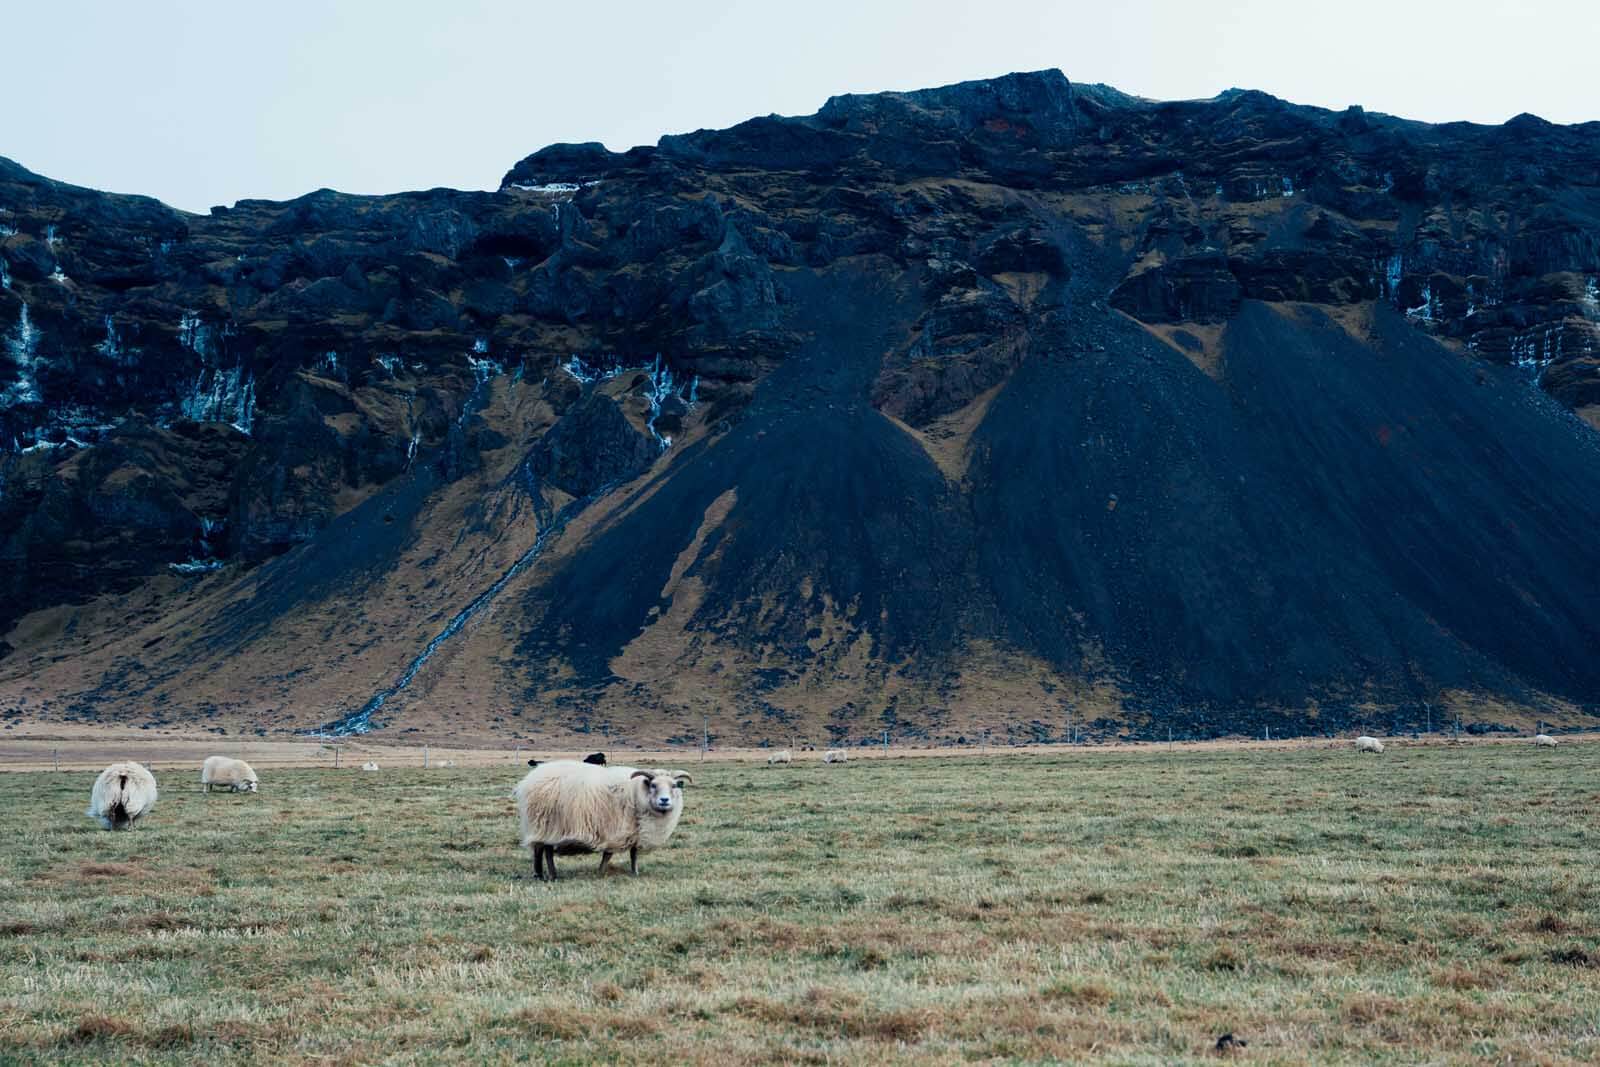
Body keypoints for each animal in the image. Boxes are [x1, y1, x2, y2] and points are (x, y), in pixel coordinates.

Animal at [508, 758, 691, 883]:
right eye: (653, 785)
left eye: (674, 785)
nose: (664, 800)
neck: (637, 792)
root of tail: (529, 779)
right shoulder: (616, 830)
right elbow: (608, 855)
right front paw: (601, 873)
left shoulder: (634, 832)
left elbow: (634, 854)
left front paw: (634, 872)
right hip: (543, 824)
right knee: (541, 851)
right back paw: (543, 875)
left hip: (549, 827)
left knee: (545, 851)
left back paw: (550, 874)